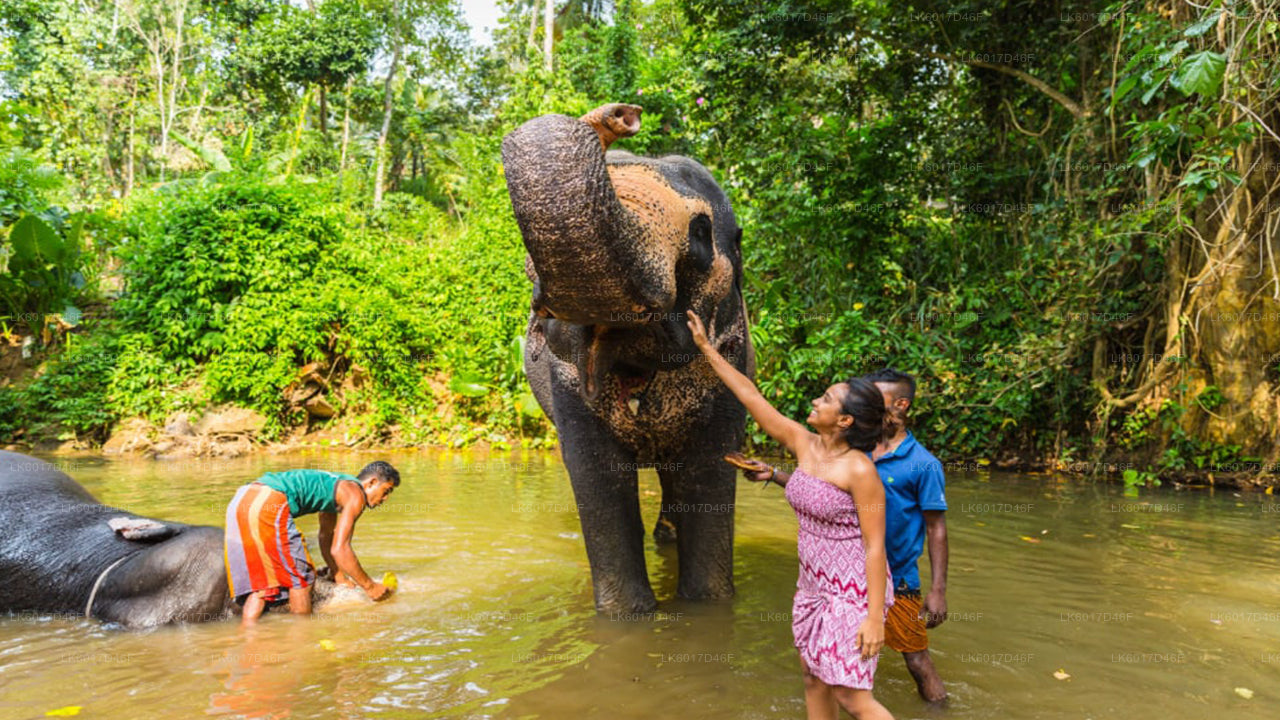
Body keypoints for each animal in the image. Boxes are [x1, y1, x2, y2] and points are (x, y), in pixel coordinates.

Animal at [503, 102, 754, 614]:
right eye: (529, 264)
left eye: (701, 233)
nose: (621, 115)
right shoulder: (565, 386)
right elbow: (596, 477)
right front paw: (627, 618)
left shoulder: (731, 361)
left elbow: (710, 470)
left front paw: (706, 608)